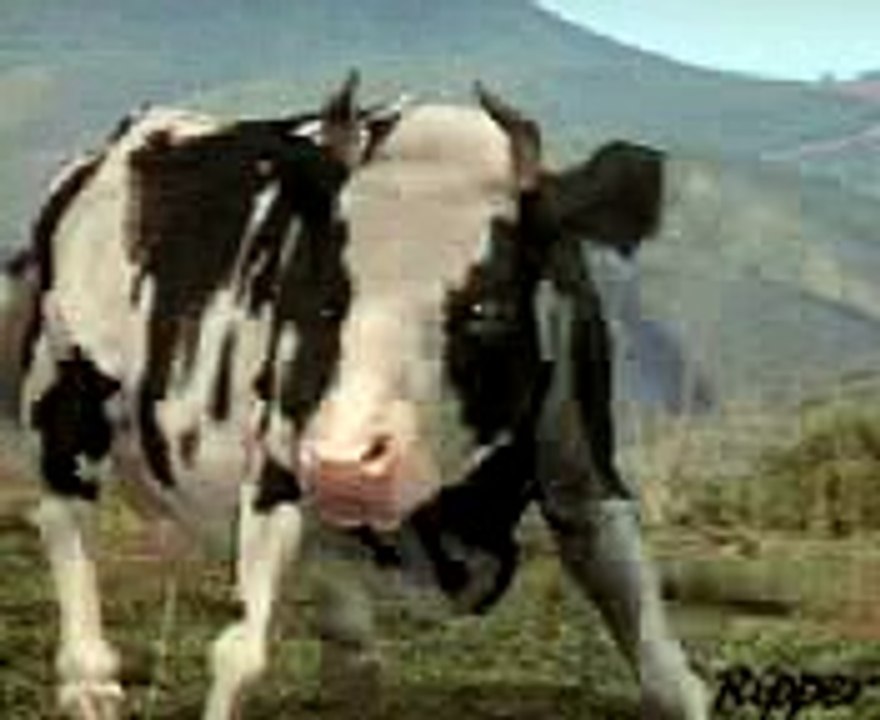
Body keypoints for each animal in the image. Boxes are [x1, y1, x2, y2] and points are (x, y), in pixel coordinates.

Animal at [2, 73, 707, 719]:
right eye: (324, 301)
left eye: (489, 308)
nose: (345, 463)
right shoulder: (276, 463)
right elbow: (241, 657)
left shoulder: (584, 475)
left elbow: (668, 672)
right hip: (64, 385)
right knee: (64, 516)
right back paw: (90, 681)